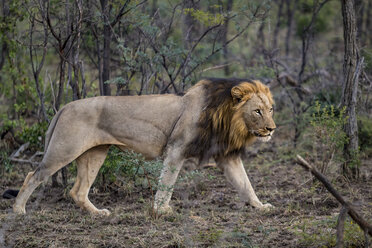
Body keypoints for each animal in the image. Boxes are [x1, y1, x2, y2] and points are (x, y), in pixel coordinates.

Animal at [8, 77, 276, 215]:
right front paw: (161, 210)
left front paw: (260, 206)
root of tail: (65, 106)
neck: (229, 121)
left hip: (94, 153)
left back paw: (98, 213)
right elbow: (167, 183)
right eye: (257, 111)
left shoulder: (227, 156)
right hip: (63, 150)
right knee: (33, 175)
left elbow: (245, 184)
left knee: (78, 191)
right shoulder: (176, 150)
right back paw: (19, 210)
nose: (271, 129)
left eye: (271, 109)